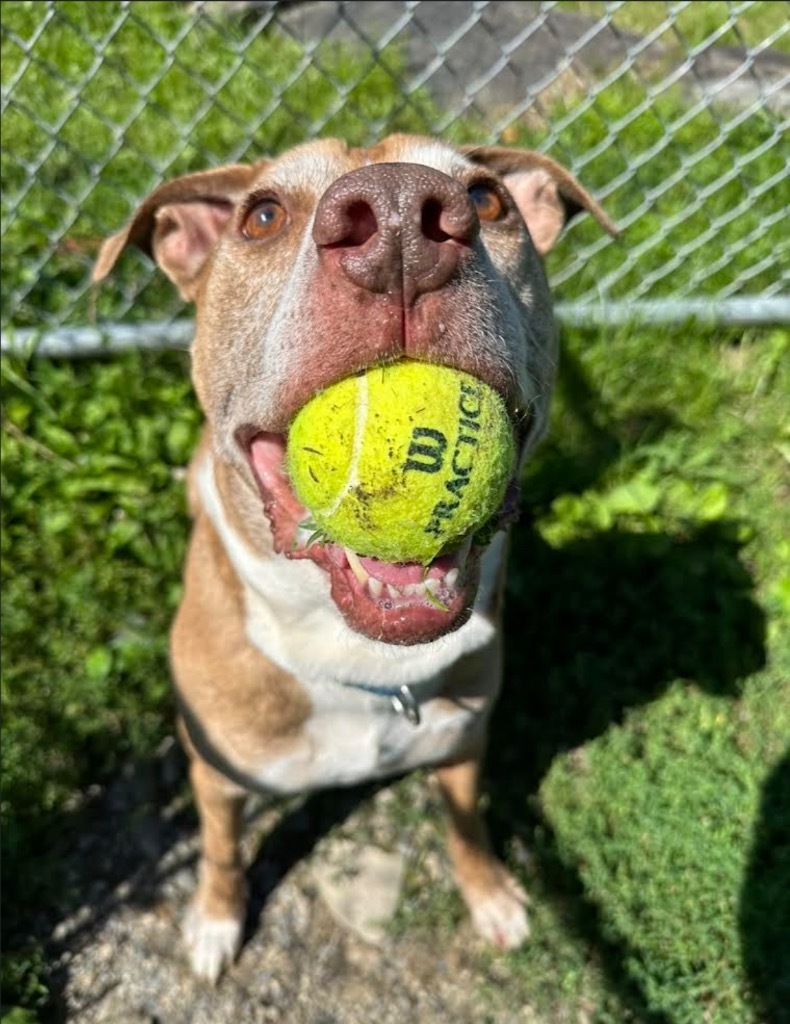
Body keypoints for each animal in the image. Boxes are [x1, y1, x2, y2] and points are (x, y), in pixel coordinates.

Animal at [94, 132, 618, 978]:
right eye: (261, 216)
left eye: (489, 199)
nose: (402, 221)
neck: (366, 663)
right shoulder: (218, 776)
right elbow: (221, 850)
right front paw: (216, 919)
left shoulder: (464, 744)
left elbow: (467, 826)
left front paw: (489, 893)